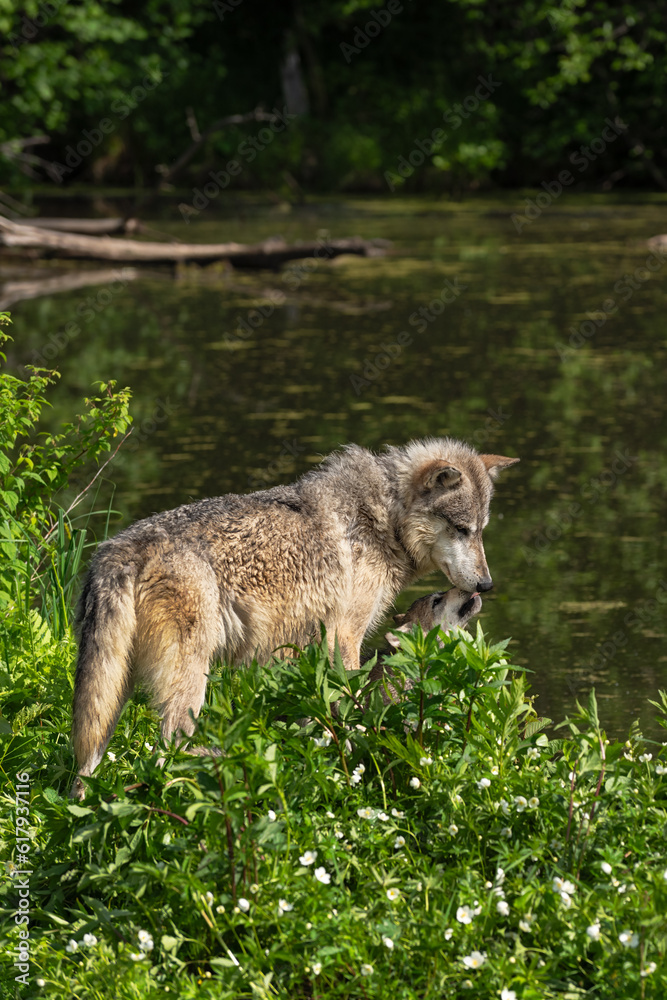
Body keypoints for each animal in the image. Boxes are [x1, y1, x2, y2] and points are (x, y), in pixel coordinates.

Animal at [70, 437, 517, 796]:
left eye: (481, 530)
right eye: (461, 529)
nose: (486, 585)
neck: (385, 516)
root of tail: (117, 552)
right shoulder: (345, 637)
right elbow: (350, 708)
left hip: (111, 693)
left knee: (88, 761)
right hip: (189, 682)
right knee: (168, 749)